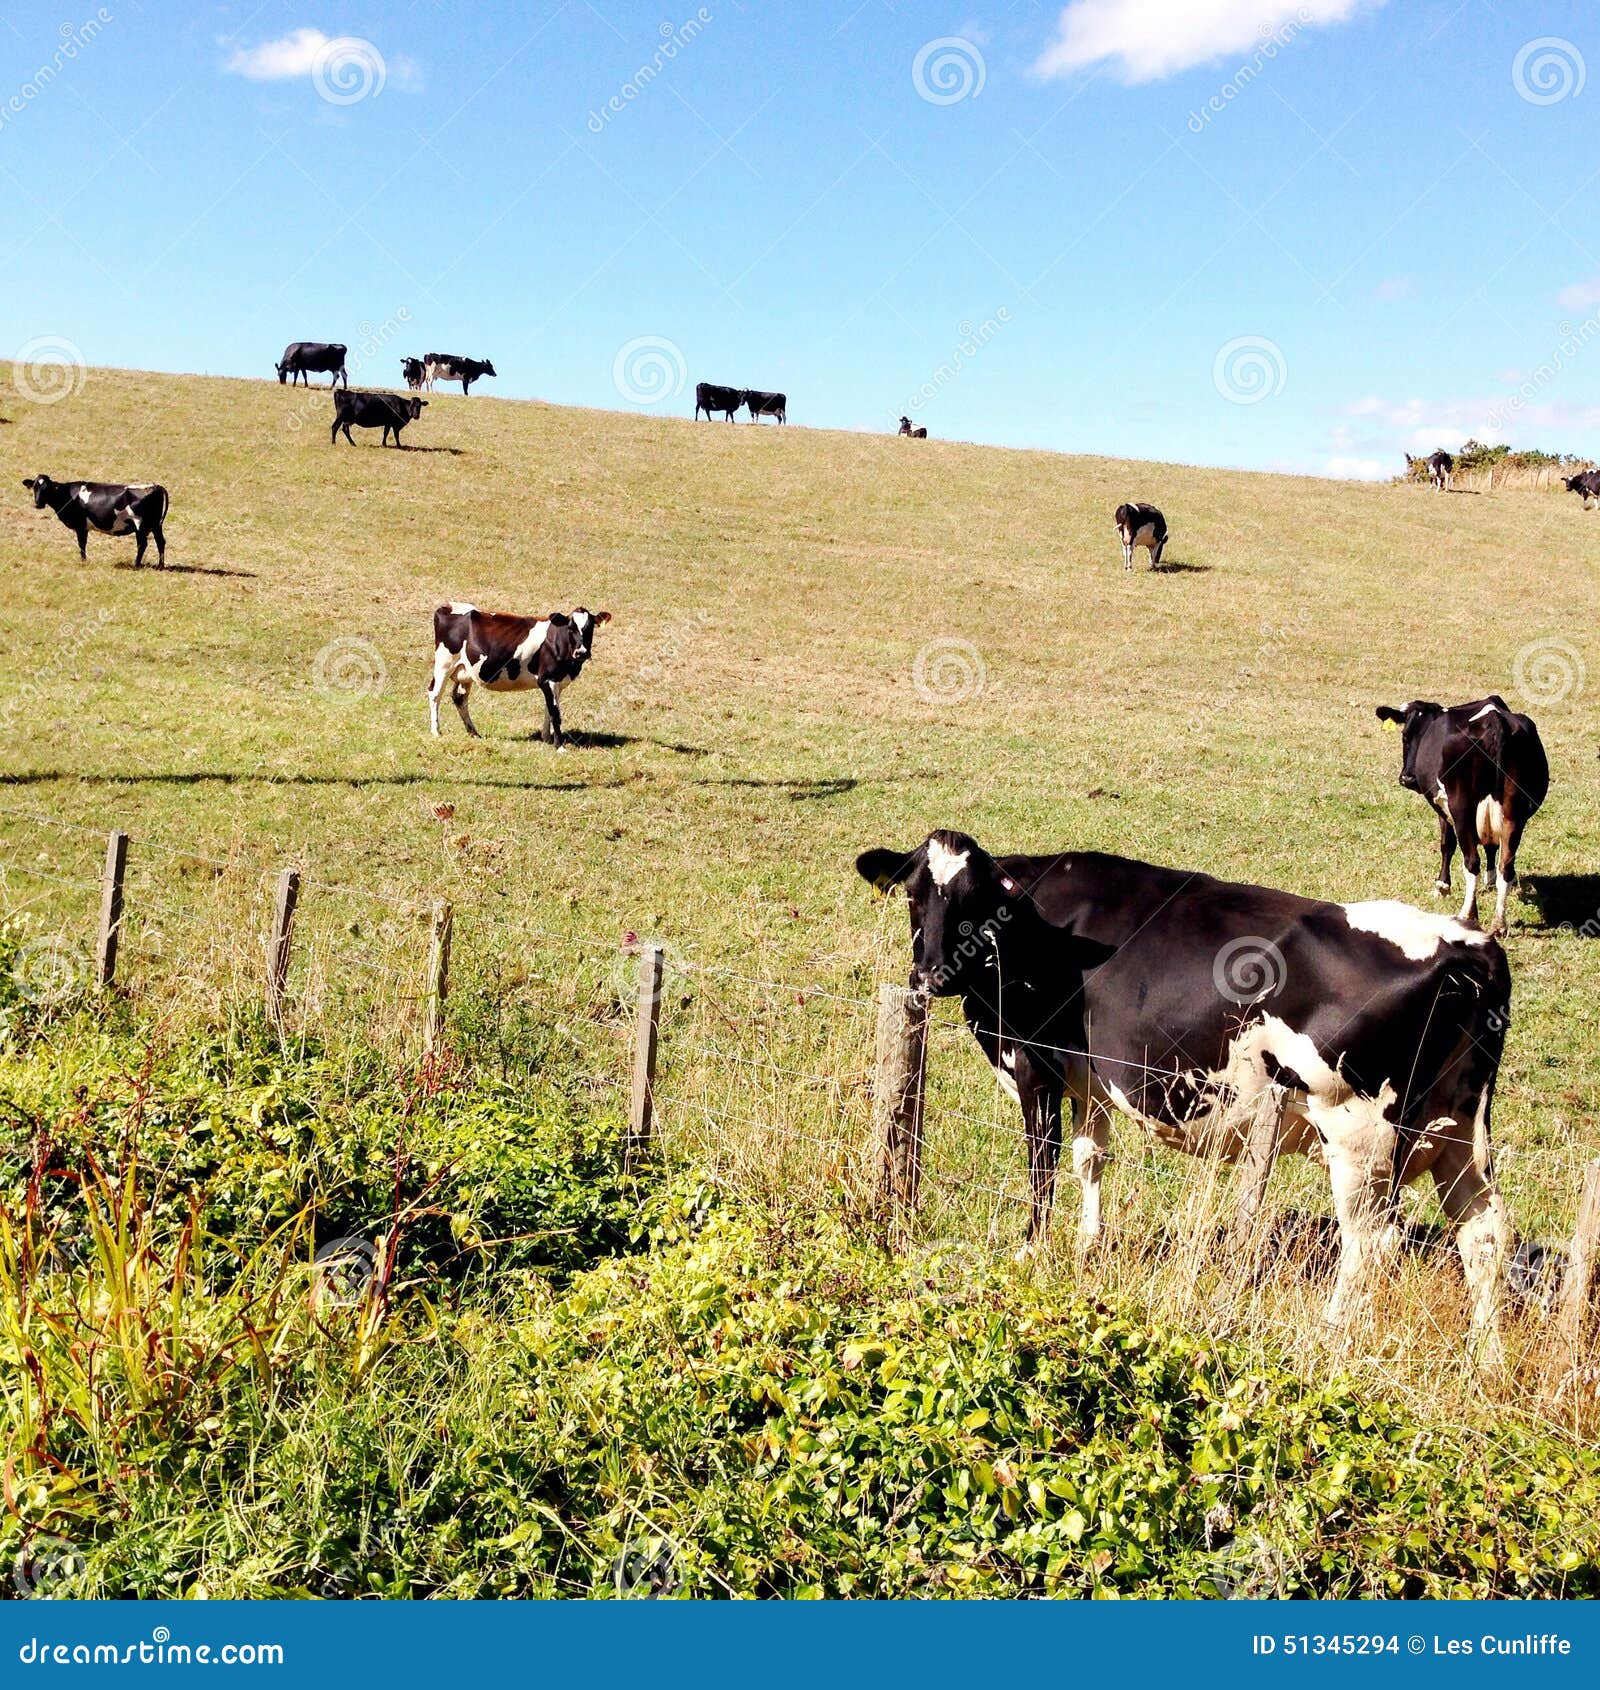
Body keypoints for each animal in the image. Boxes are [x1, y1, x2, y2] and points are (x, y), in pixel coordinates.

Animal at [22, 473, 169, 567]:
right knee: (160, 542)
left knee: (142, 544)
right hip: (156, 525)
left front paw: (83, 562)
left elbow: (81, 544)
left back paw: (136, 565)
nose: (38, 504)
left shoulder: (80, 525)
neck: (67, 495)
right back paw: (160, 566)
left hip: (140, 525)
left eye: (47, 488)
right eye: (34, 487)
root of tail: (156, 486)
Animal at [428, 604, 610, 749]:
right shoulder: (548, 679)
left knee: (460, 698)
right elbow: (555, 713)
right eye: (570, 628)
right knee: (435, 694)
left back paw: (474, 733)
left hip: (465, 672)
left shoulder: (557, 681)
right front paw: (559, 746)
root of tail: (447, 606)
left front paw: (546, 738)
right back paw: (436, 732)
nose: (581, 652)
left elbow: (549, 709)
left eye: (590, 628)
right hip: (444, 664)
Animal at [856, 830, 1514, 1366]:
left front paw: (1029, 1253)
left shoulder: (1034, 1063)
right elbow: (1089, 1156)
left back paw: (1329, 1335)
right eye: (915, 896)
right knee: (1484, 1234)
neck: (1039, 932)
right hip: (1461, 1128)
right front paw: (1087, 1245)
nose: (932, 975)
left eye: (978, 905)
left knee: (1372, 1243)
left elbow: (1042, 1163)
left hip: (1357, 1134)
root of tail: (1466, 945)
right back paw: (1484, 1361)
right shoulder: (1092, 1075)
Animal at [1373, 695, 1548, 939]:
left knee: (1471, 861)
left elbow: (1447, 844)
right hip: (1514, 815)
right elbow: (1491, 847)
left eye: (1404, 736)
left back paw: (1468, 915)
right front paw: (1489, 879)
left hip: (1462, 809)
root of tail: (1494, 721)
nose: (1407, 778)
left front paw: (1442, 886)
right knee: (1506, 866)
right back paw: (1499, 924)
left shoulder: (1443, 807)